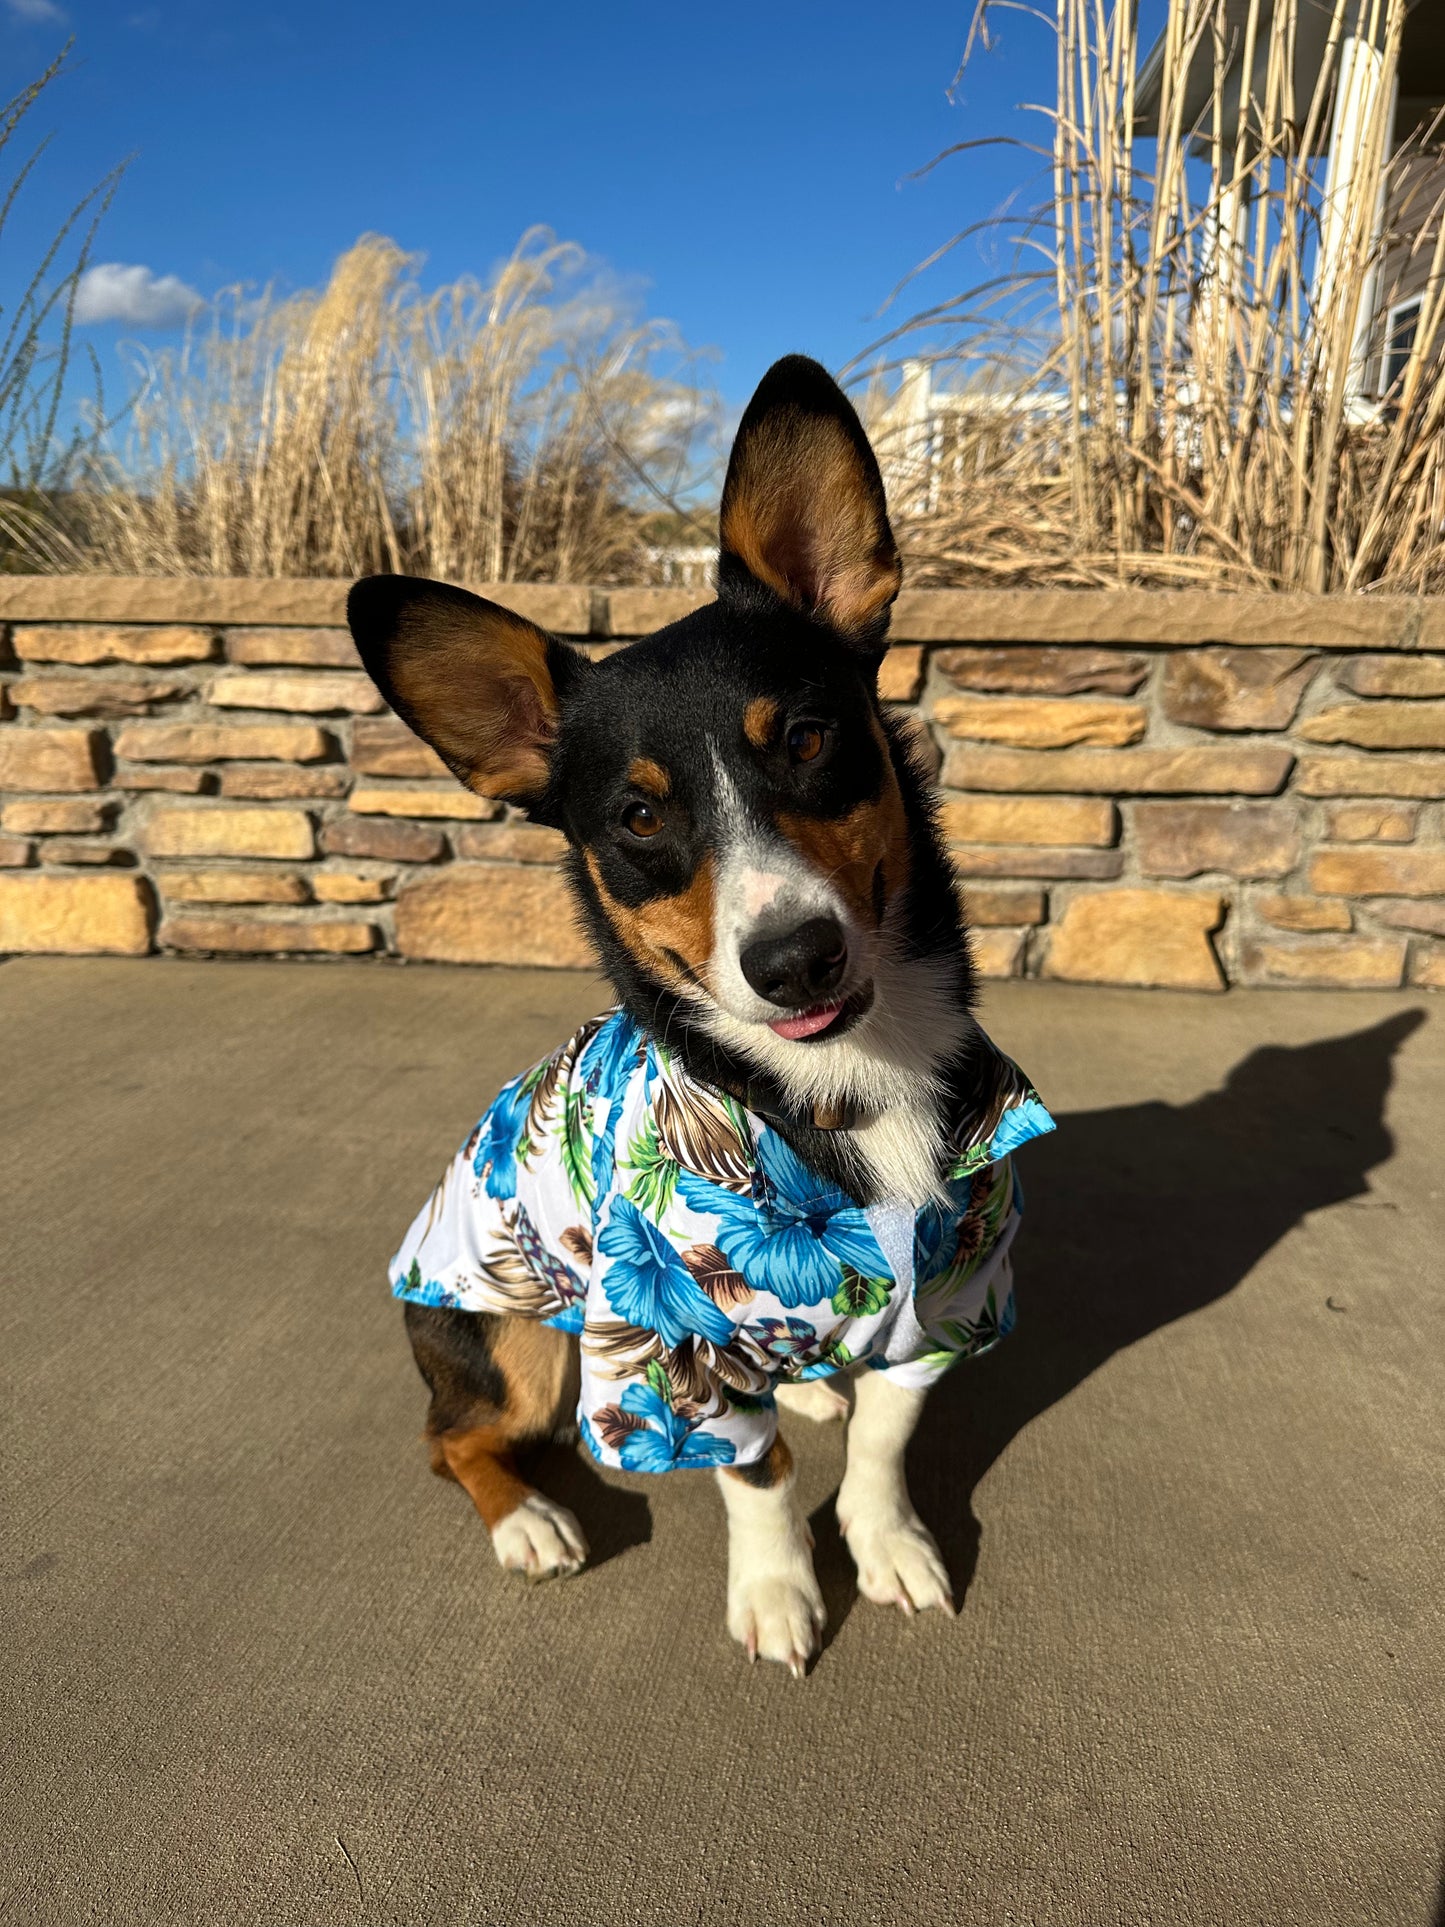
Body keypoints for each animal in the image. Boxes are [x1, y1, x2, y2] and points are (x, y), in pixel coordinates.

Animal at [348, 358, 1055, 1672]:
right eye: (636, 817)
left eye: (811, 738)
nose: (794, 959)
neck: (840, 1092)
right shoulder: (671, 1350)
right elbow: (757, 1473)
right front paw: (777, 1590)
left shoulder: (951, 1299)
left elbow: (880, 1435)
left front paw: (885, 1539)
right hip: (519, 1342)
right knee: (450, 1438)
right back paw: (526, 1519)